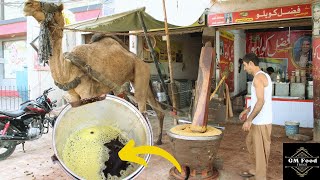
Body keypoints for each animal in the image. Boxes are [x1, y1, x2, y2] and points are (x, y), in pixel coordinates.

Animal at [23, 0, 165, 143]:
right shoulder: (74, 96)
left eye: (51, 5)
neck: (69, 70)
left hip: (141, 72)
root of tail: (140, 59)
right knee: (154, 107)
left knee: (142, 107)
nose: (28, 4)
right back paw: (158, 139)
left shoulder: (88, 93)